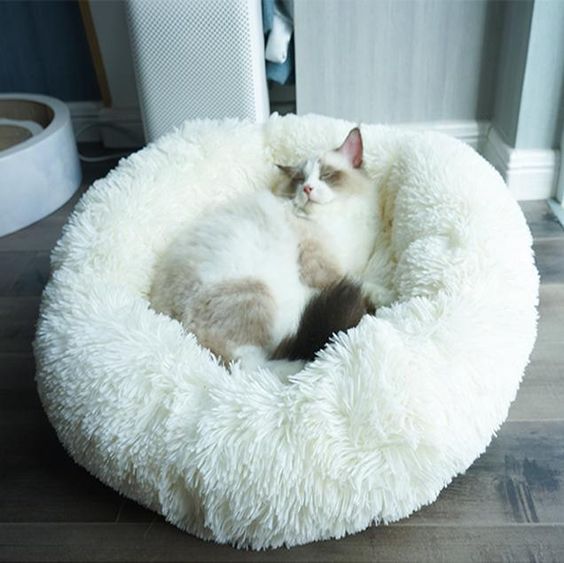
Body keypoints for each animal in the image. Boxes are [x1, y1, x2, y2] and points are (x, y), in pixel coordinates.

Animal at [150, 128, 378, 374]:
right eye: (300, 180)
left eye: (326, 175)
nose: (307, 189)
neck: (335, 219)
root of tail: (168, 318)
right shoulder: (325, 270)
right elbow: (360, 283)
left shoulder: (355, 264)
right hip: (256, 292)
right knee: (251, 366)